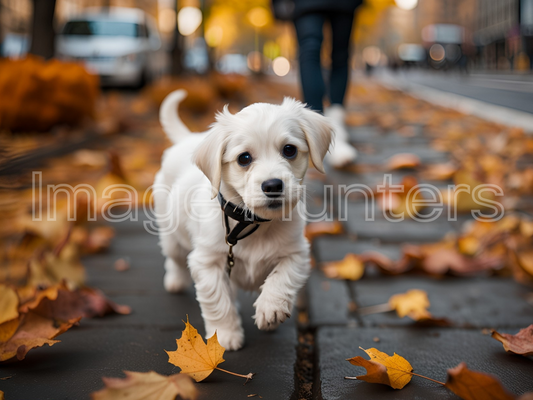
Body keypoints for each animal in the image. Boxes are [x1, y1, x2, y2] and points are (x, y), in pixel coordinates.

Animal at [152, 90, 330, 350]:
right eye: (244, 158)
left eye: (289, 150)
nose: (273, 185)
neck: (253, 223)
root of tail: (187, 138)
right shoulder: (207, 262)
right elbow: (218, 301)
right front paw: (224, 336)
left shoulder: (297, 254)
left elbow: (281, 279)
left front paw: (271, 309)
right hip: (171, 236)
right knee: (174, 259)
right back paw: (175, 280)